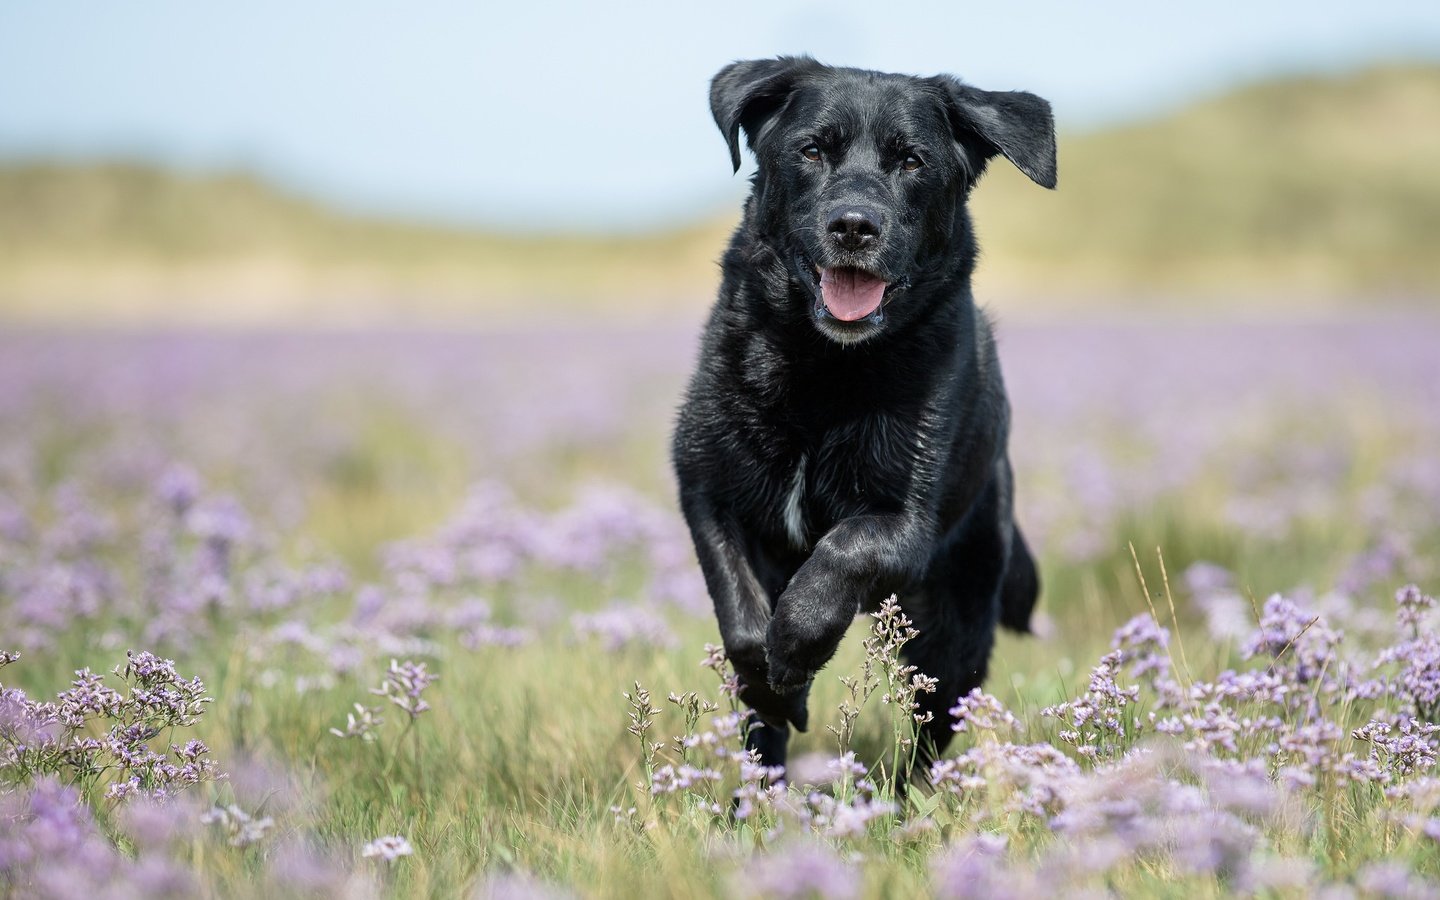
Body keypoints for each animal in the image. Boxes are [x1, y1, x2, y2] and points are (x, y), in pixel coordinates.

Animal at [668, 57, 1054, 771]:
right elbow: (741, 618)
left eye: (912, 161)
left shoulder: (905, 521)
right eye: (812, 150)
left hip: (954, 627)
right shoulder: (707, 490)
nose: (854, 226)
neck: (824, 370)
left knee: (935, 722)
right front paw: (775, 683)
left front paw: (796, 646)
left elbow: (839, 554)